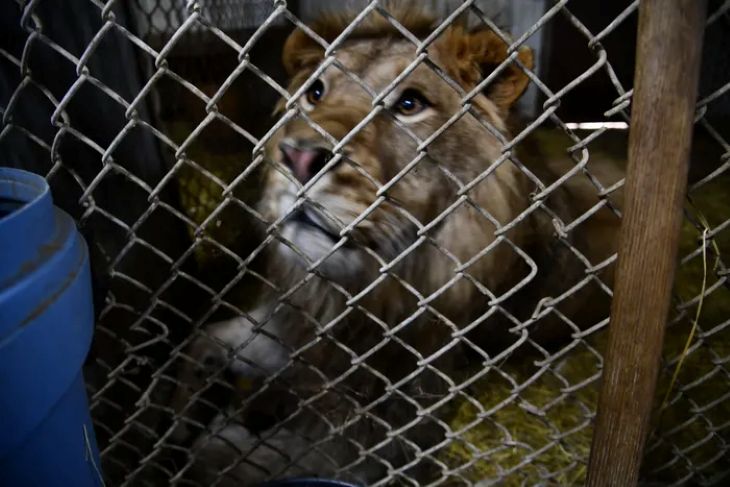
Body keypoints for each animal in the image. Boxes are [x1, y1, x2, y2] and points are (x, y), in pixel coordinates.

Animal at [171, 6, 622, 485]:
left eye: (409, 104)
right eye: (315, 92)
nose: (299, 158)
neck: (360, 287)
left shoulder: (398, 431)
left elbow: (253, 459)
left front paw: (216, 435)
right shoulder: (297, 325)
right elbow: (205, 337)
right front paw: (182, 413)